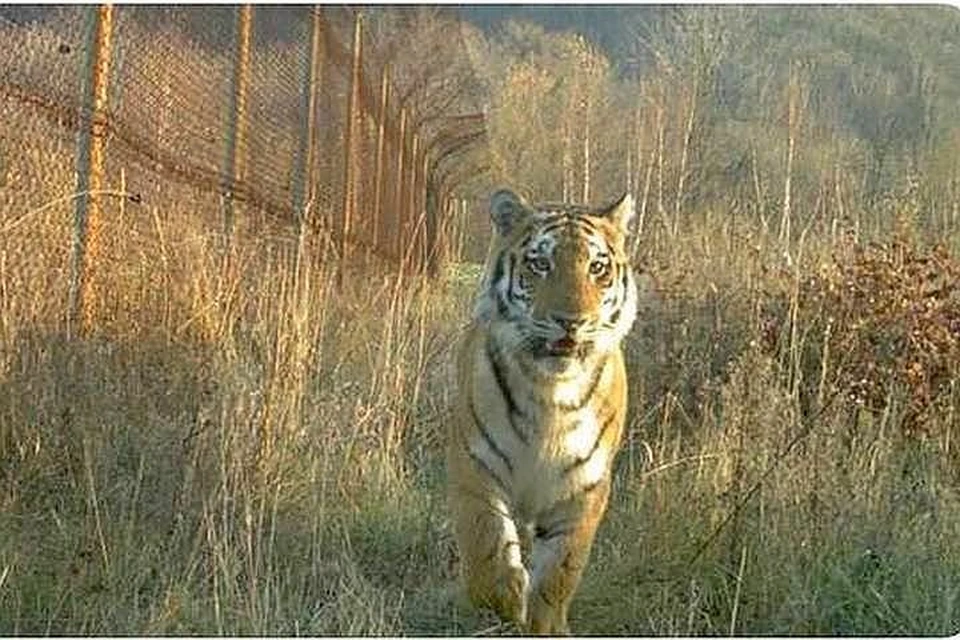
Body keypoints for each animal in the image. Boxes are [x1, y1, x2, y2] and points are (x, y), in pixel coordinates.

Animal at [448, 186, 636, 636]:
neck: (550, 391)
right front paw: (506, 597)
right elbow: (486, 546)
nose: (571, 321)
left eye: (597, 267)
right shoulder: (476, 467)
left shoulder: (585, 486)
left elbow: (560, 569)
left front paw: (544, 622)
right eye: (540, 264)